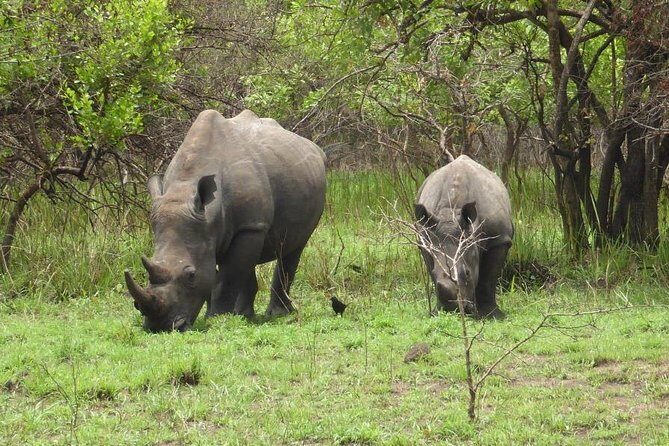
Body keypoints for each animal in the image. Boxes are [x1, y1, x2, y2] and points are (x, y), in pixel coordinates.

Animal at [125, 109, 326, 332]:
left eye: (191, 275)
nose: (159, 327)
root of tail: (315, 147)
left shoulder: (249, 226)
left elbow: (227, 278)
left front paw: (216, 317)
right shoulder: (211, 232)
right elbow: (224, 273)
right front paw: (225, 316)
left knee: (294, 247)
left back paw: (277, 314)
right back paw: (244, 314)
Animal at [415, 155, 513, 318]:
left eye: (467, 273)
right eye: (434, 275)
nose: (451, 309)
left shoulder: (499, 239)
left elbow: (489, 279)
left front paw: (493, 316)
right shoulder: (425, 240)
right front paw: (436, 312)